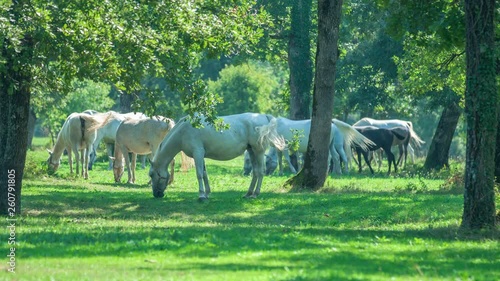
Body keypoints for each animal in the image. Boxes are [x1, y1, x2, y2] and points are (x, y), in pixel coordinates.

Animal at [148, 112, 286, 199]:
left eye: (151, 174)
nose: (156, 194)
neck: (184, 130)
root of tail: (264, 116)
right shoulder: (201, 155)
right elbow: (204, 174)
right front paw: (207, 193)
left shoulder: (198, 153)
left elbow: (199, 174)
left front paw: (201, 195)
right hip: (251, 151)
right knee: (256, 172)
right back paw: (248, 193)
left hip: (259, 151)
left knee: (261, 171)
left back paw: (256, 194)